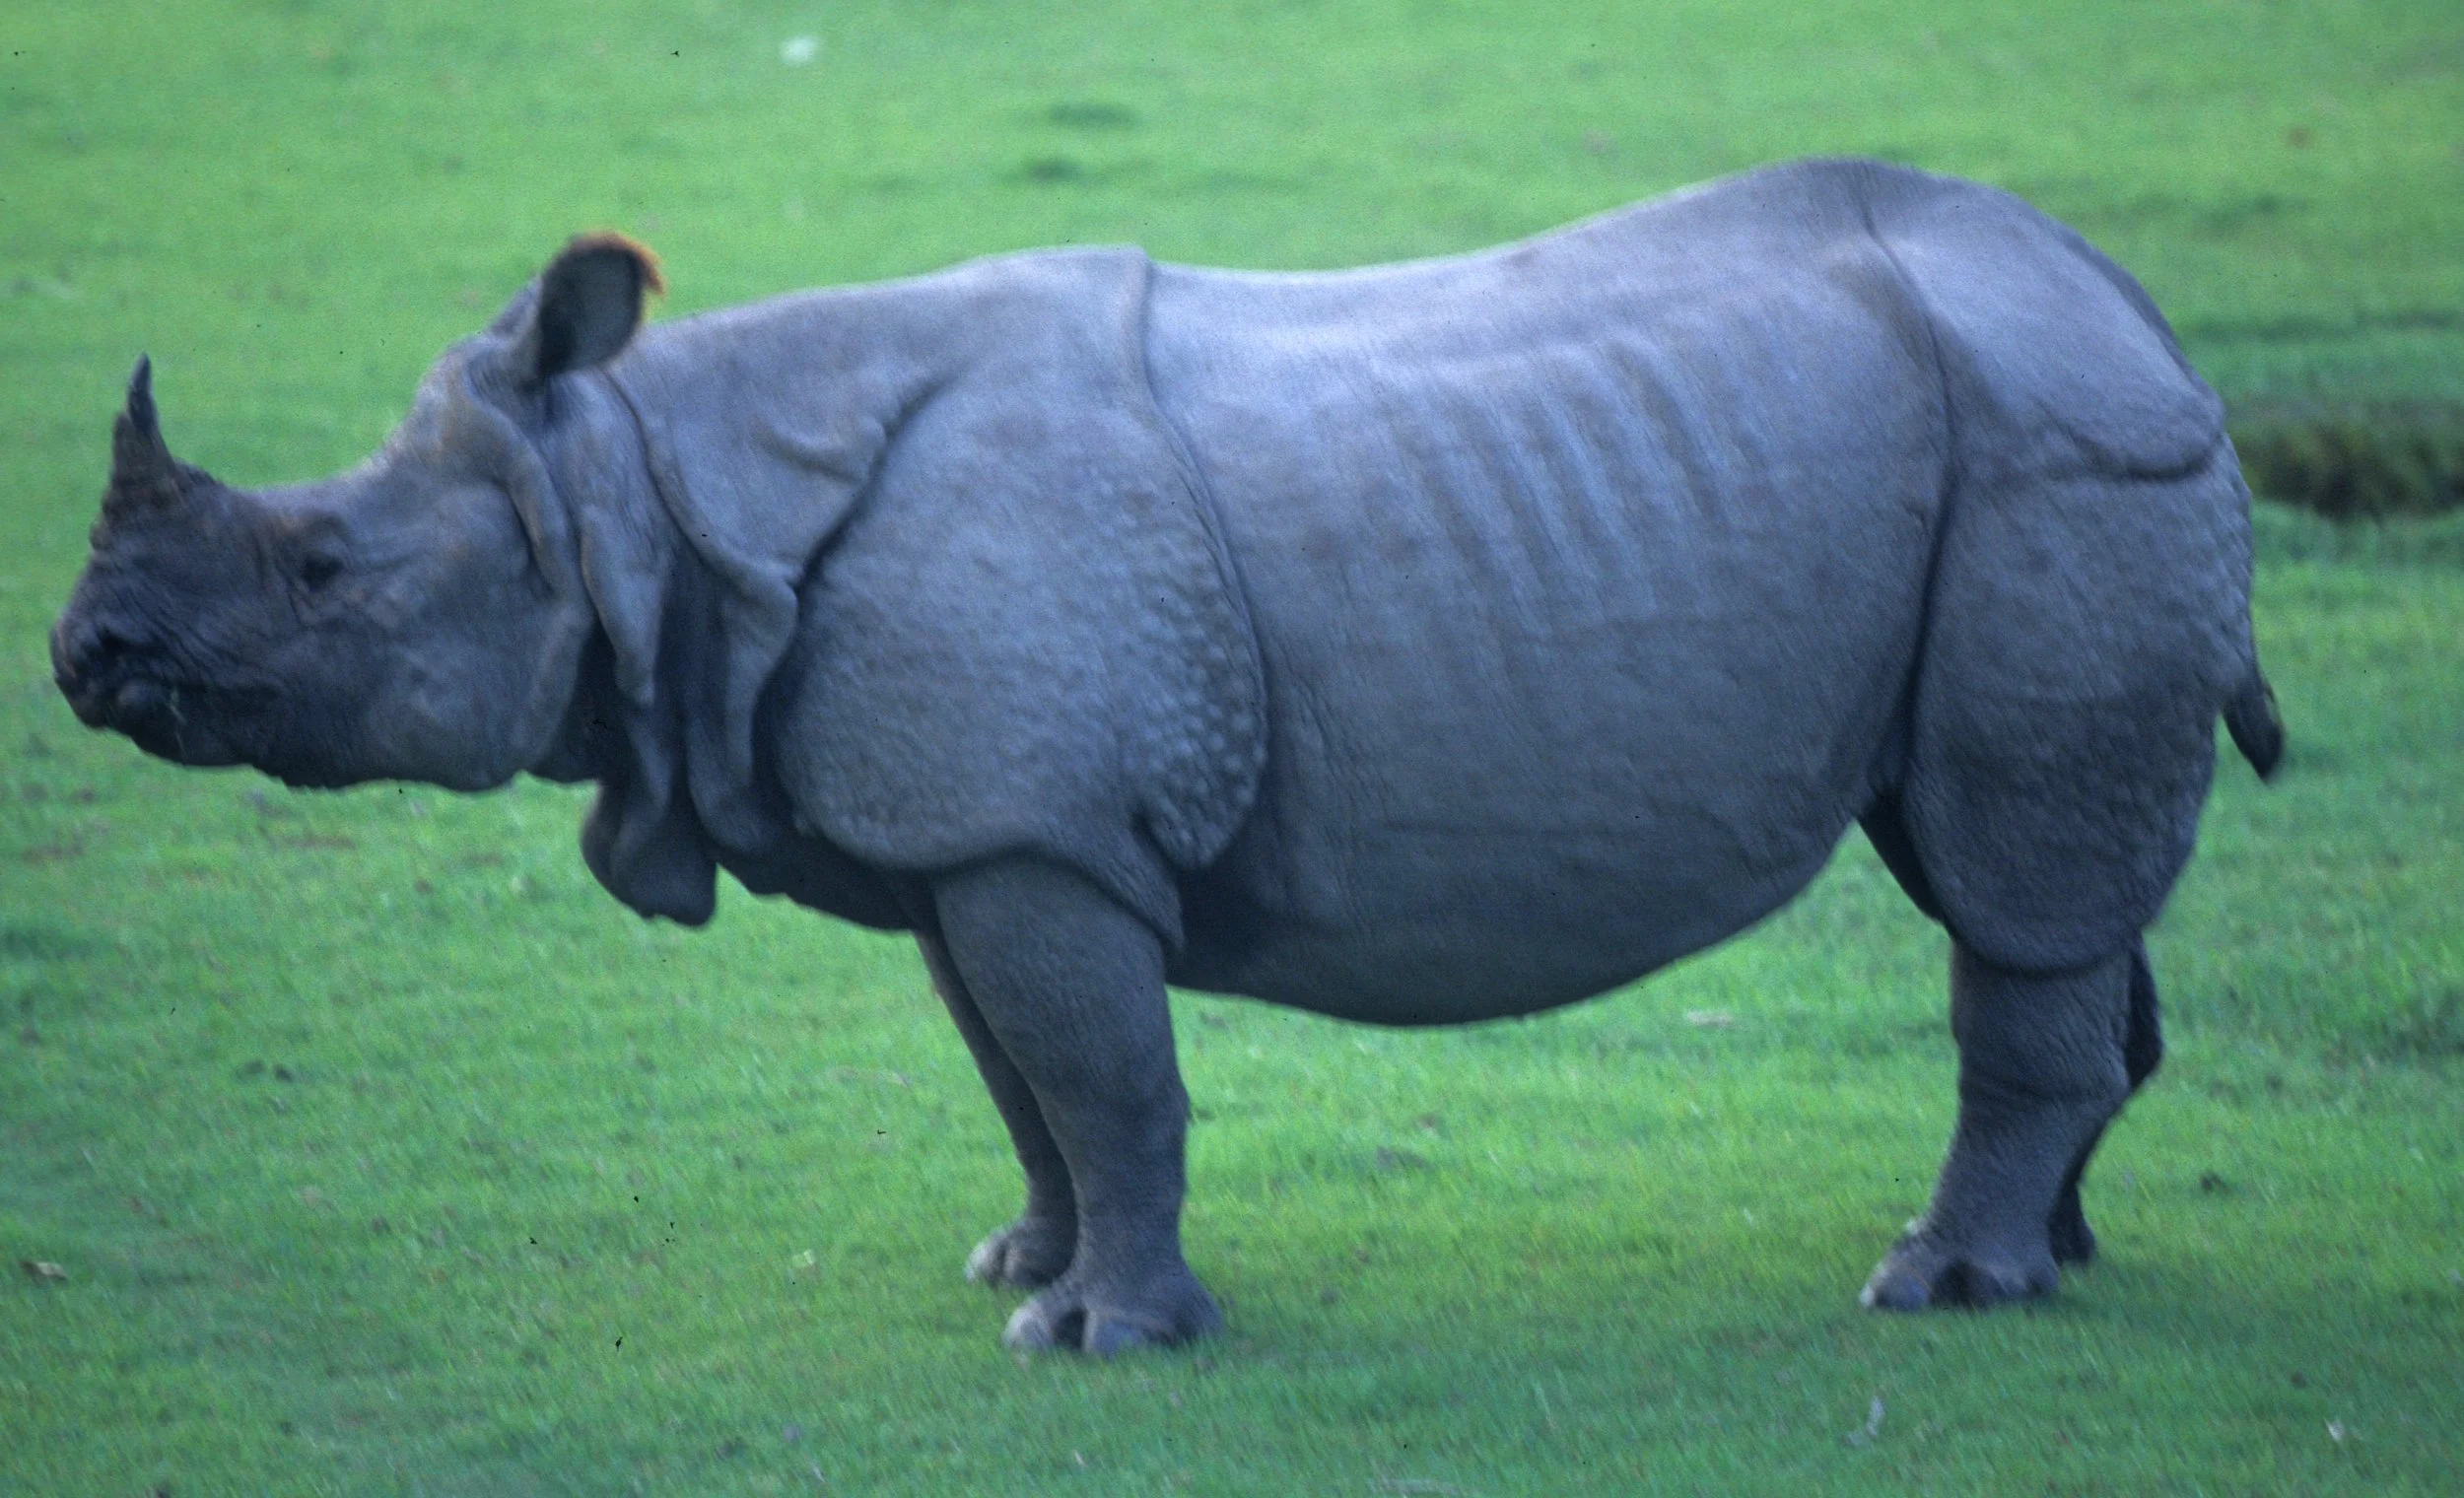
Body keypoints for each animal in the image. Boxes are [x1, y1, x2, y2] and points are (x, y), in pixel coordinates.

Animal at [54, 158, 2283, 1354]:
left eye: (323, 565)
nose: (86, 658)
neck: (648, 495)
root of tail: (2139, 314)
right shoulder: (975, 829)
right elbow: (1019, 1074)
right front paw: (1019, 1268)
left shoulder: (1031, 824)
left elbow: (1104, 1071)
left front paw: (1102, 1338)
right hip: (2029, 460)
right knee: (2018, 879)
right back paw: (2056, 1259)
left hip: (2064, 465)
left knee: (2015, 878)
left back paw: (1937, 1284)